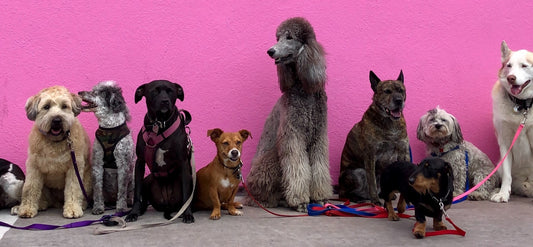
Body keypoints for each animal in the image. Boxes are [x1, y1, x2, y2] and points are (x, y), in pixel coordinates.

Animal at [12, 85, 91, 218]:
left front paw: (73, 209)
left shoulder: (74, 167)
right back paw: (38, 204)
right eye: (46, 106)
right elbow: (30, 188)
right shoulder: (34, 167)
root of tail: (57, 202)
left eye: (64, 106)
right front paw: (27, 208)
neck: (55, 141)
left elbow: (73, 189)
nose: (57, 120)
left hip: (87, 178)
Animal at [125, 80, 194, 223]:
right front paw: (133, 213)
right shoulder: (140, 162)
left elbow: (186, 194)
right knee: (144, 199)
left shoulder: (183, 162)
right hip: (147, 180)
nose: (165, 101)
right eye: (154, 91)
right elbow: (137, 193)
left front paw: (187, 214)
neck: (159, 125)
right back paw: (140, 210)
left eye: (170, 91)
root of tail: (167, 204)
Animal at [338, 70, 410, 205]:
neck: (390, 123)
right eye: (387, 91)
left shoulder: (403, 153)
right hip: (355, 173)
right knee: (343, 194)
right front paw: (376, 200)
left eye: (401, 90)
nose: (399, 100)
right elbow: (372, 181)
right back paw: (357, 198)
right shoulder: (370, 155)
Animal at [490, 41, 532, 203]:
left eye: (524, 66)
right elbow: (507, 176)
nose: (511, 78)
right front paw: (503, 193)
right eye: (509, 65)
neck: (522, 106)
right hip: (499, 165)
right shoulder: (505, 142)